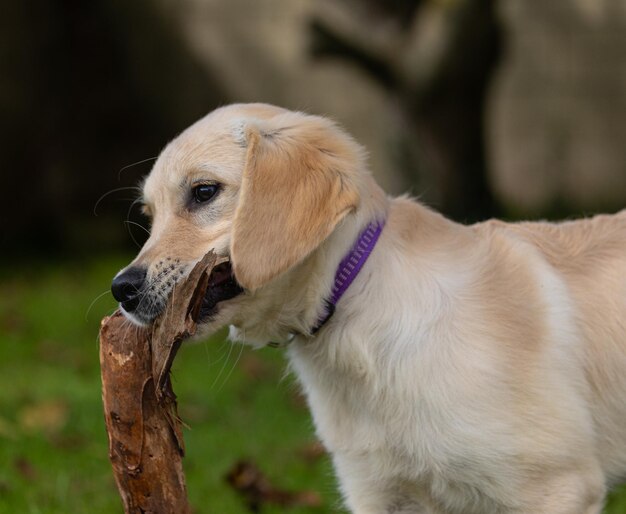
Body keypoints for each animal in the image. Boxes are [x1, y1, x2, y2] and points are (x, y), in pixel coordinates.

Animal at [111, 102, 624, 510]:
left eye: (203, 192)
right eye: (150, 215)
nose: (121, 290)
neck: (355, 306)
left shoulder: (554, 485)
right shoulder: (380, 491)